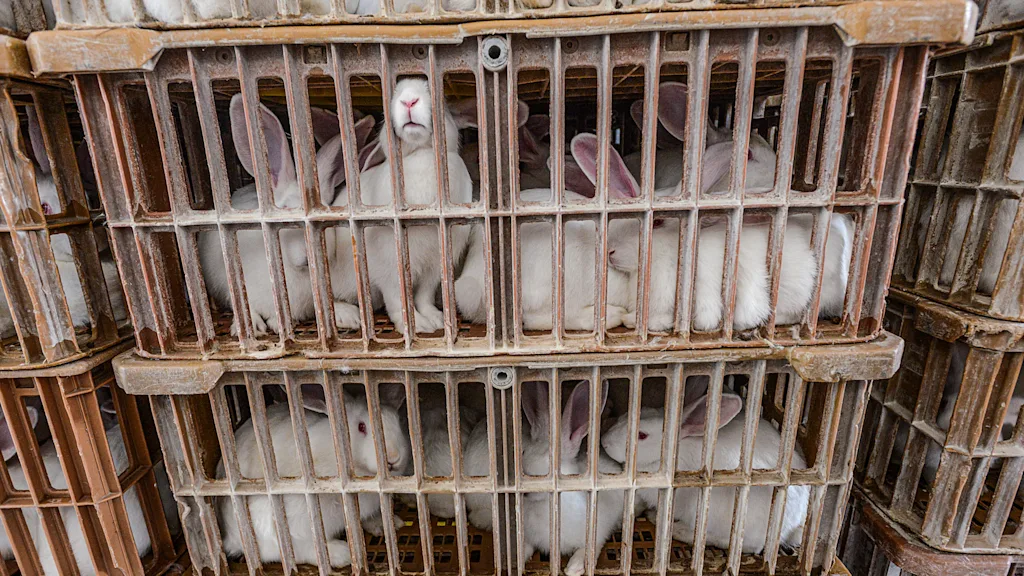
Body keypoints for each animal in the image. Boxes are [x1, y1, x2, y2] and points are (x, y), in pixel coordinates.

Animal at [199, 95, 364, 336]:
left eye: (326, 215)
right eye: (285, 210)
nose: (309, 254)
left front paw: (350, 317)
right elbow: (246, 306)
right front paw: (257, 327)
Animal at [218, 384, 411, 568]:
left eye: (399, 422)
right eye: (361, 427)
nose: (393, 458)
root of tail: (232, 538)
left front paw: (387, 523)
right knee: (298, 551)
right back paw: (341, 554)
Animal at [347, 78, 473, 335]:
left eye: (439, 97)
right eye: (394, 94)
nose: (409, 101)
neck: (420, 153)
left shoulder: (434, 267)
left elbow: (423, 295)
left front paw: (435, 320)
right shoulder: (388, 266)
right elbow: (397, 300)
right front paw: (413, 327)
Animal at [601, 392, 810, 554]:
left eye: (642, 435)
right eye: (625, 416)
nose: (604, 442)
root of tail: (793, 525)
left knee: (745, 545)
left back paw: (675, 528)